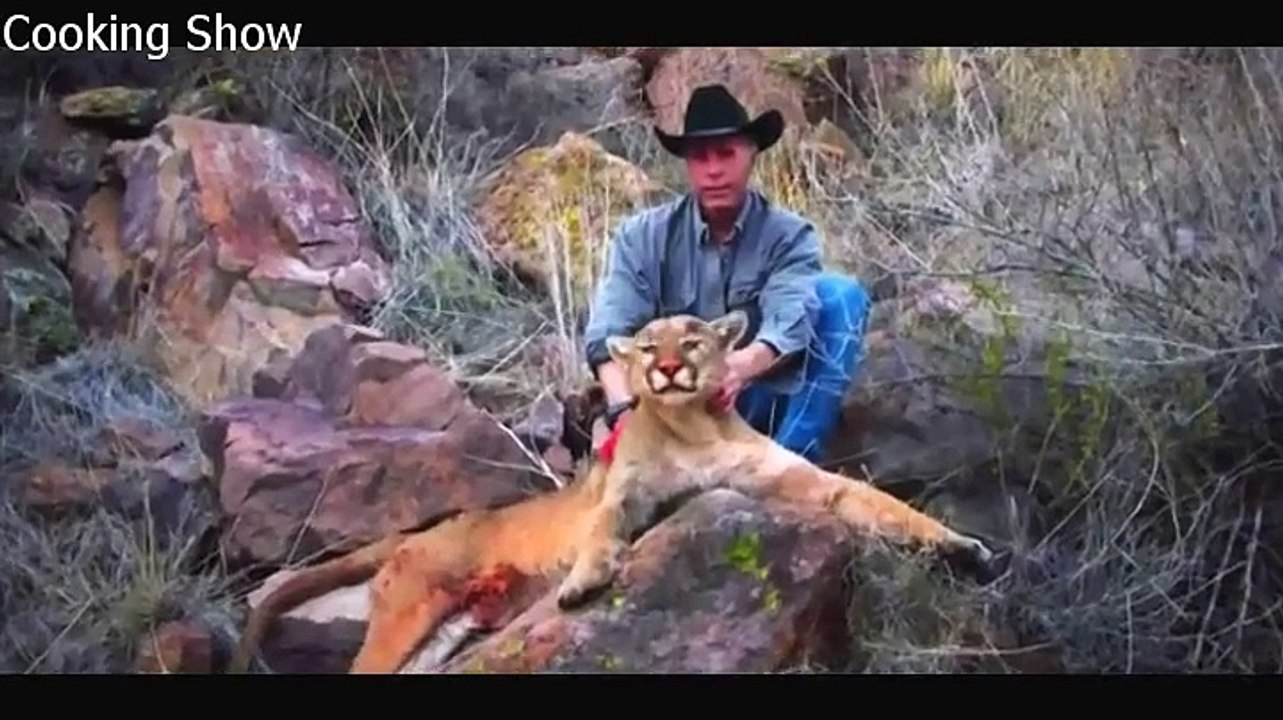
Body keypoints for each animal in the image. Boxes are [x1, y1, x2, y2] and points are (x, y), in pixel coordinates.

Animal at [228, 309, 995, 674]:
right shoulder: (624, 496)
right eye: (647, 345)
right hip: (410, 610)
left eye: (692, 340)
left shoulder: (799, 482)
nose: (665, 369)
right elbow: (601, 528)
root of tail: (426, 530)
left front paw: (961, 547)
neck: (695, 426)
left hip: (446, 631)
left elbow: (881, 506)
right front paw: (581, 584)